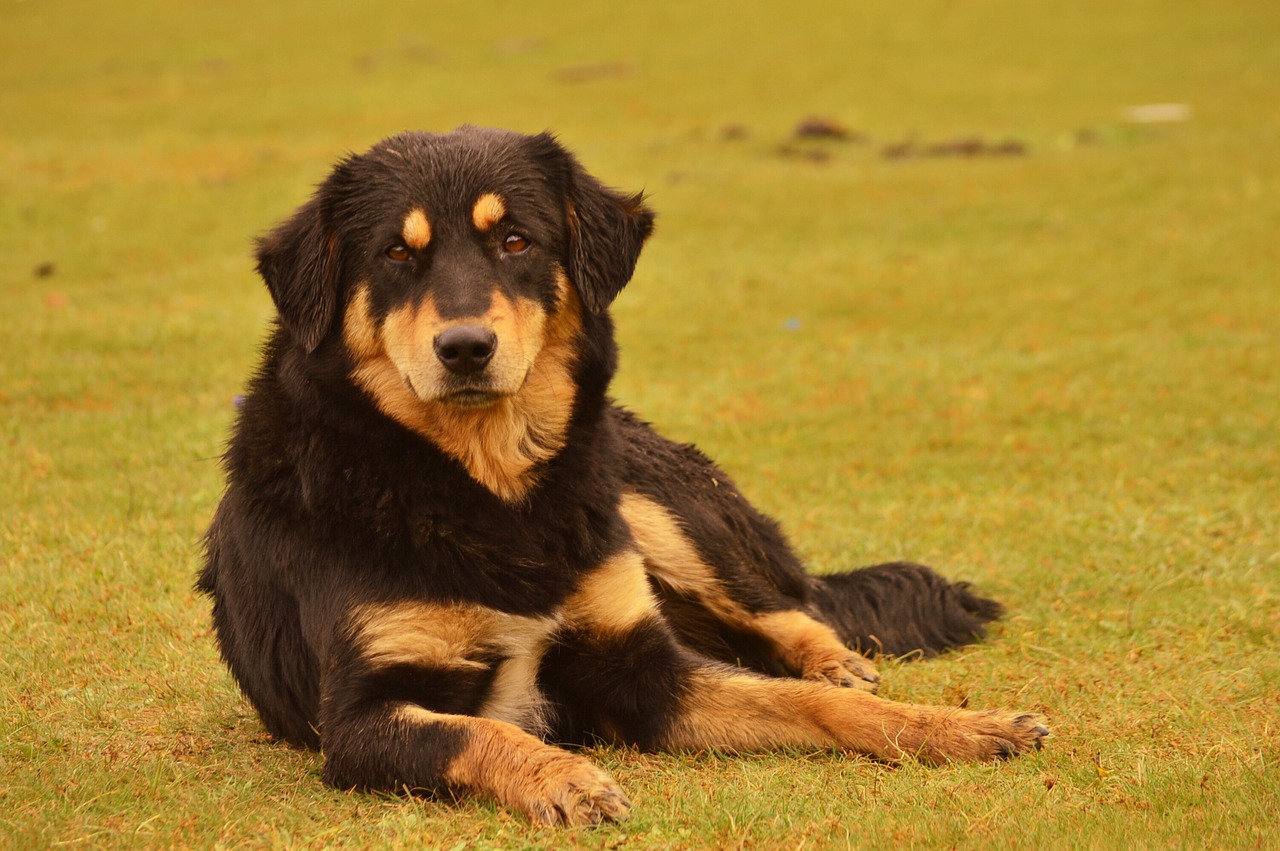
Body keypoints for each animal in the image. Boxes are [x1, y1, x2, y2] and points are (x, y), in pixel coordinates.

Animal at [199, 124, 1049, 824]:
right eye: (396, 254)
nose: (466, 347)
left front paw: (960, 725)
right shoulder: (361, 716)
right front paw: (565, 778)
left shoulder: (644, 667)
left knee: (794, 610)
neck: (488, 491)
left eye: (515, 240)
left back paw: (839, 661)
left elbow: (805, 703)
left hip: (655, 508)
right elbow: (480, 733)